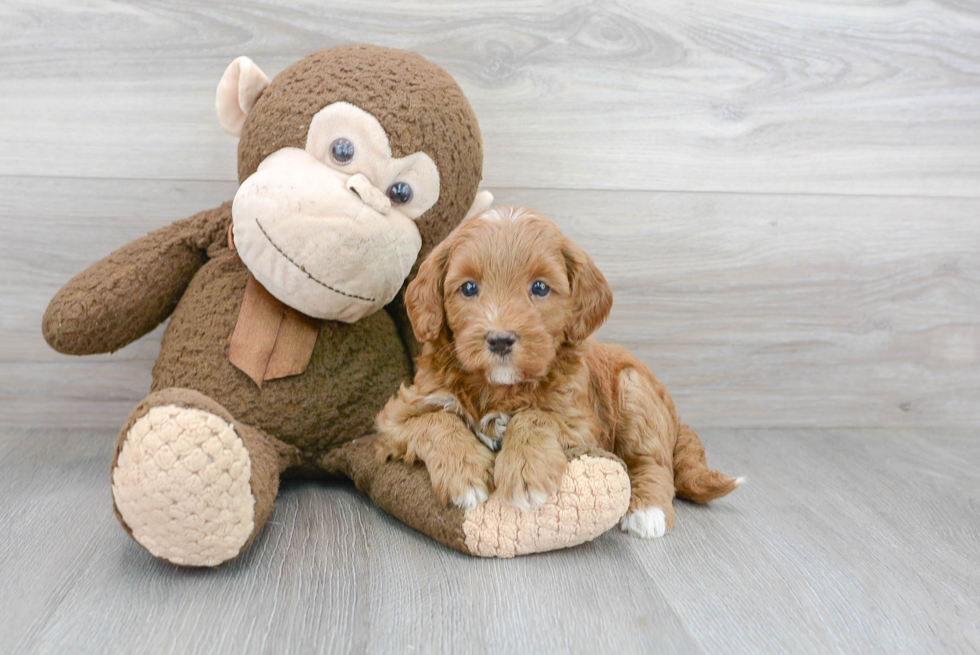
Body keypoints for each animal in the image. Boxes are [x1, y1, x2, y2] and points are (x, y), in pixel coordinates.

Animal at [378, 206, 740, 540]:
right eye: (468, 288)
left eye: (539, 288)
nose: (499, 340)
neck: (499, 389)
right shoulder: (397, 415)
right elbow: (437, 420)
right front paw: (464, 474)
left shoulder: (581, 420)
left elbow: (535, 417)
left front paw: (525, 471)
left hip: (635, 389)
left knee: (653, 462)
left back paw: (648, 512)